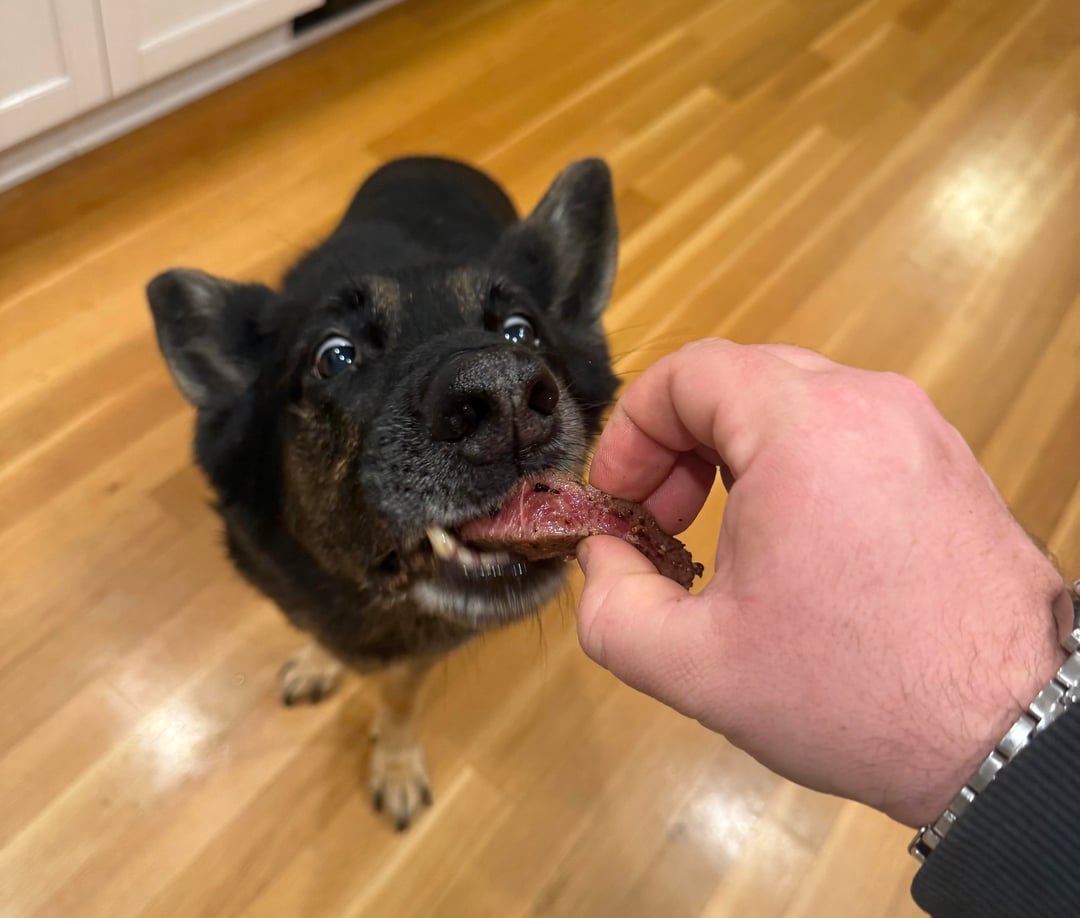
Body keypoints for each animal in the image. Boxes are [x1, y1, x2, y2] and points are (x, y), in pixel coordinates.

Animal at [147, 156, 619, 829]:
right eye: (335, 357)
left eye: (521, 332)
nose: (504, 396)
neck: (372, 600)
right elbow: (321, 633)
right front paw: (320, 663)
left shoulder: (419, 652)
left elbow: (398, 697)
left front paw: (394, 761)